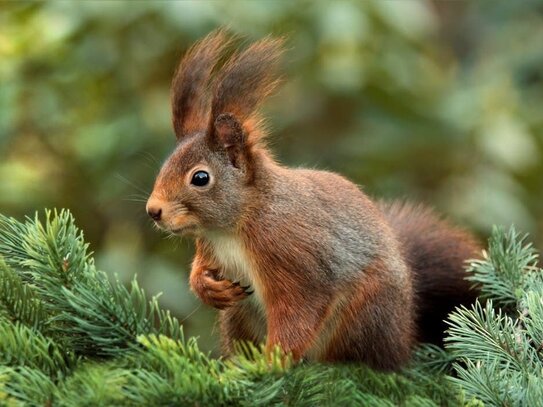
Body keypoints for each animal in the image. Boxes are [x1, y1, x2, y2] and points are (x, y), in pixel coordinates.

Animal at [146, 30, 480, 372]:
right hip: (239, 316)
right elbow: (200, 269)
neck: (234, 226)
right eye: (165, 166)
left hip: (365, 313)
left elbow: (298, 313)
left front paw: (271, 364)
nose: (153, 211)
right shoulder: (210, 247)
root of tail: (404, 336)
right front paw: (207, 287)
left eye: (200, 178)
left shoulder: (293, 257)